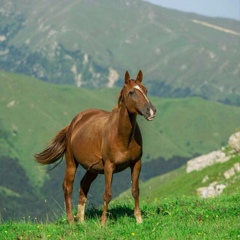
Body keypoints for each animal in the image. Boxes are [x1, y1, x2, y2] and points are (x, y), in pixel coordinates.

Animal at [34, 70, 157, 225]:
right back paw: (71, 221)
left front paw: (139, 219)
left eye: (145, 90)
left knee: (83, 185)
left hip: (93, 168)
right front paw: (103, 223)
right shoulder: (109, 166)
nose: (151, 111)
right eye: (131, 92)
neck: (122, 136)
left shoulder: (136, 163)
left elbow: (135, 190)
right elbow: (107, 194)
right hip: (71, 162)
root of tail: (74, 122)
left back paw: (81, 220)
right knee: (68, 187)